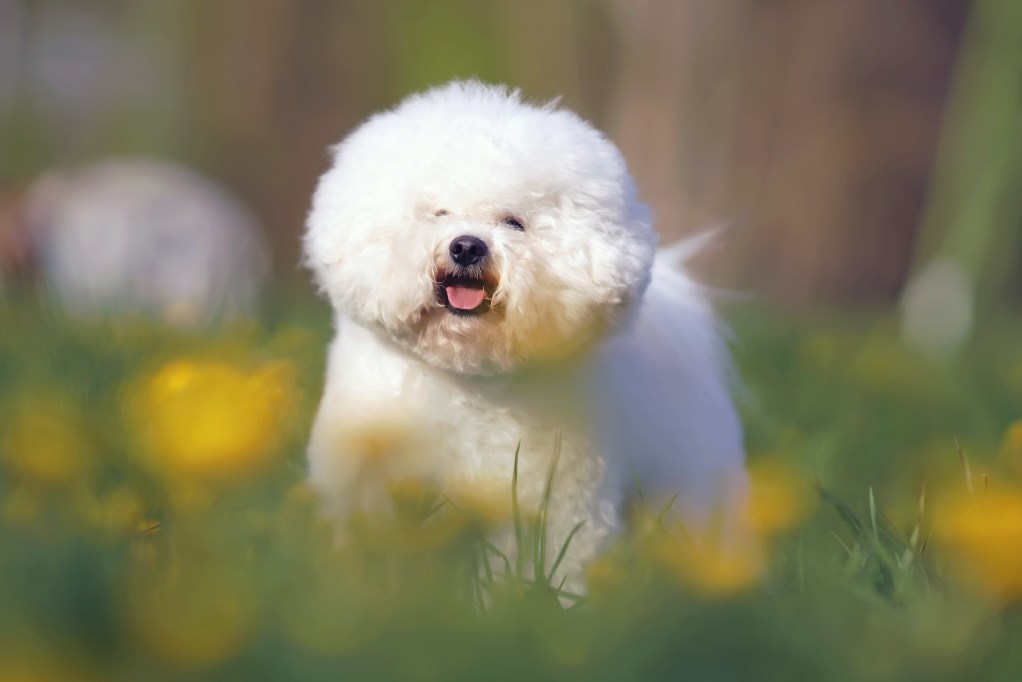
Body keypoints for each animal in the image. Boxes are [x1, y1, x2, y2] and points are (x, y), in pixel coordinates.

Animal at [300, 81, 744, 588]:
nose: (467, 246)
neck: (467, 383)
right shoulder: (372, 486)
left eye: (514, 222)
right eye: (438, 213)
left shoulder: (551, 500)